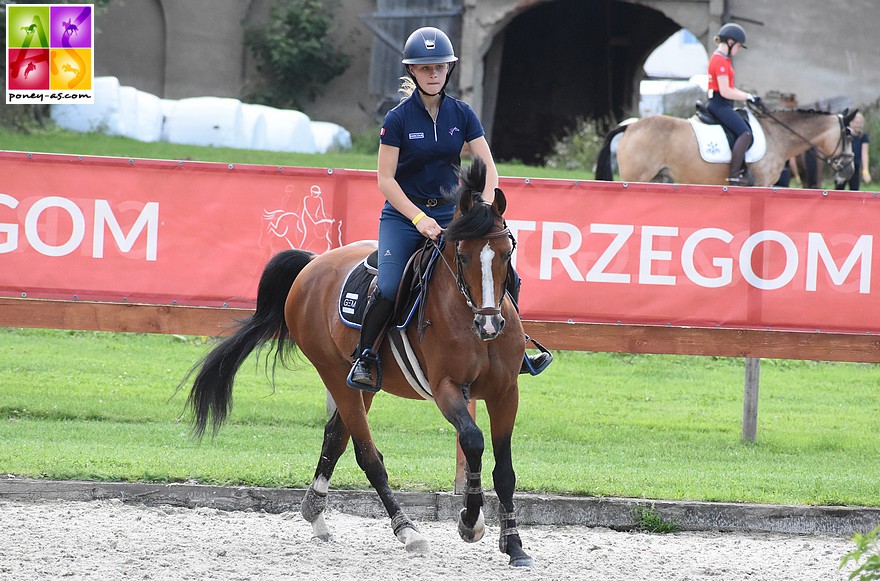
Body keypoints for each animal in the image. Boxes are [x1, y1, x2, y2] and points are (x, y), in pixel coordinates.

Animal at [182, 159, 532, 568]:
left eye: (506, 253)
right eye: (461, 256)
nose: (490, 325)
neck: (469, 317)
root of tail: (314, 263)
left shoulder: (506, 392)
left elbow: (505, 471)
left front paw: (514, 545)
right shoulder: (446, 389)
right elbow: (473, 441)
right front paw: (469, 522)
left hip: (361, 386)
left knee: (335, 435)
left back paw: (315, 512)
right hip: (334, 373)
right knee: (367, 455)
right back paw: (407, 530)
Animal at [596, 103, 856, 186]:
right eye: (850, 136)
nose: (850, 170)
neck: (777, 136)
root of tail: (631, 125)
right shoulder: (761, 185)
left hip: (656, 178)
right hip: (635, 177)